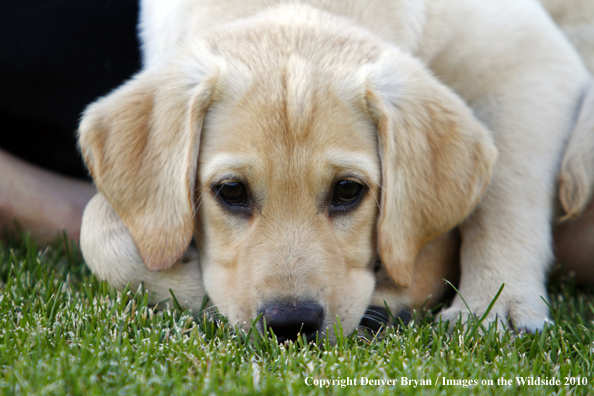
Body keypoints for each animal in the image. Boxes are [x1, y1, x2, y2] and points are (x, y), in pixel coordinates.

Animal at [80, 0, 592, 340]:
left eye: (348, 191)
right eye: (231, 192)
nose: (291, 324)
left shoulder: (529, 59)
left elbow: (507, 190)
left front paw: (496, 305)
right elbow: (98, 230)